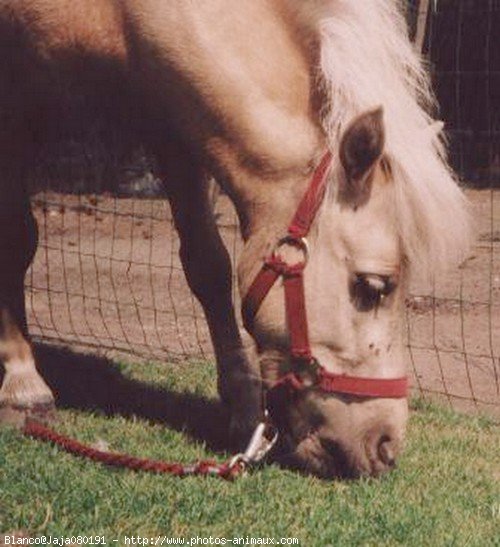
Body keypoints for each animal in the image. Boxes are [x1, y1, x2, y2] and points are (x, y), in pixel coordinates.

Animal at [0, 0, 468, 478]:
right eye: (373, 286)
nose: (386, 446)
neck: (117, 15)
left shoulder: (171, 114)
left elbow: (207, 263)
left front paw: (243, 405)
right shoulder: (14, 97)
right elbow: (17, 239)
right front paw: (23, 385)